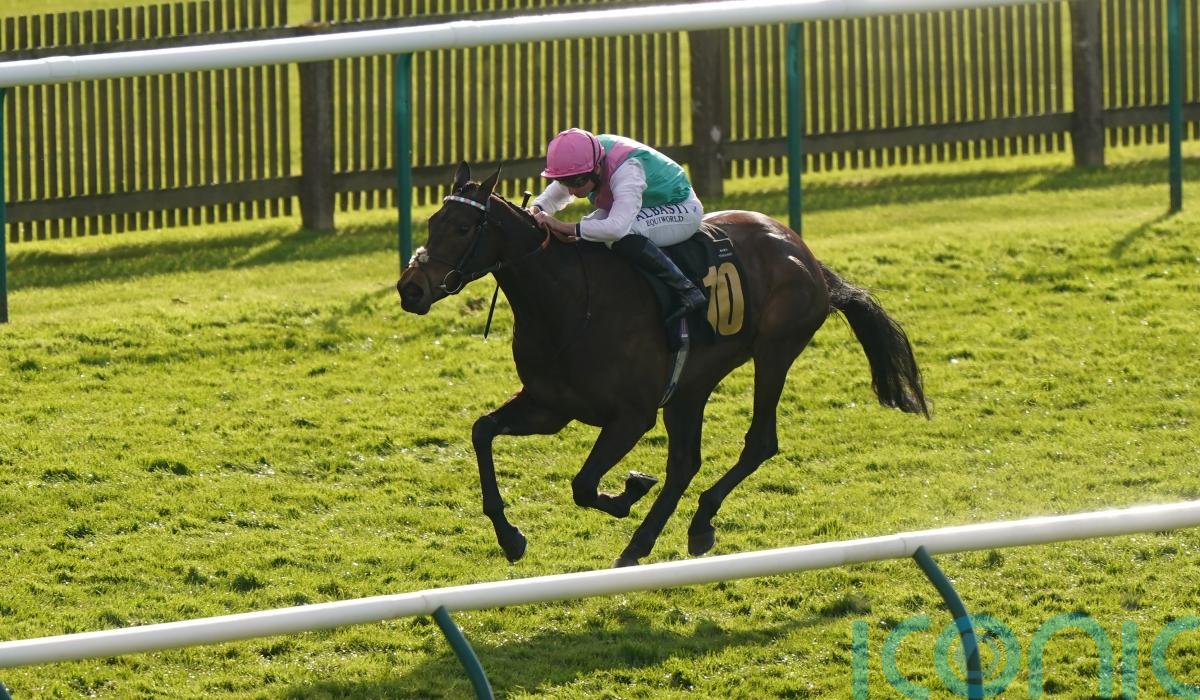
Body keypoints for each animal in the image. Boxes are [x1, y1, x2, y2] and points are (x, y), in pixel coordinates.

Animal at [397, 163, 929, 567]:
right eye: (432, 223)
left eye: (463, 228)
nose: (410, 288)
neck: (567, 301)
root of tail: (804, 252)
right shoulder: (550, 407)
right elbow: (482, 431)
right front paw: (510, 537)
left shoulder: (632, 416)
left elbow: (584, 485)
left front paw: (629, 489)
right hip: (691, 386)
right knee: (685, 462)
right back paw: (651, 541)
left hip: (775, 351)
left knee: (758, 442)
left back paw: (696, 521)